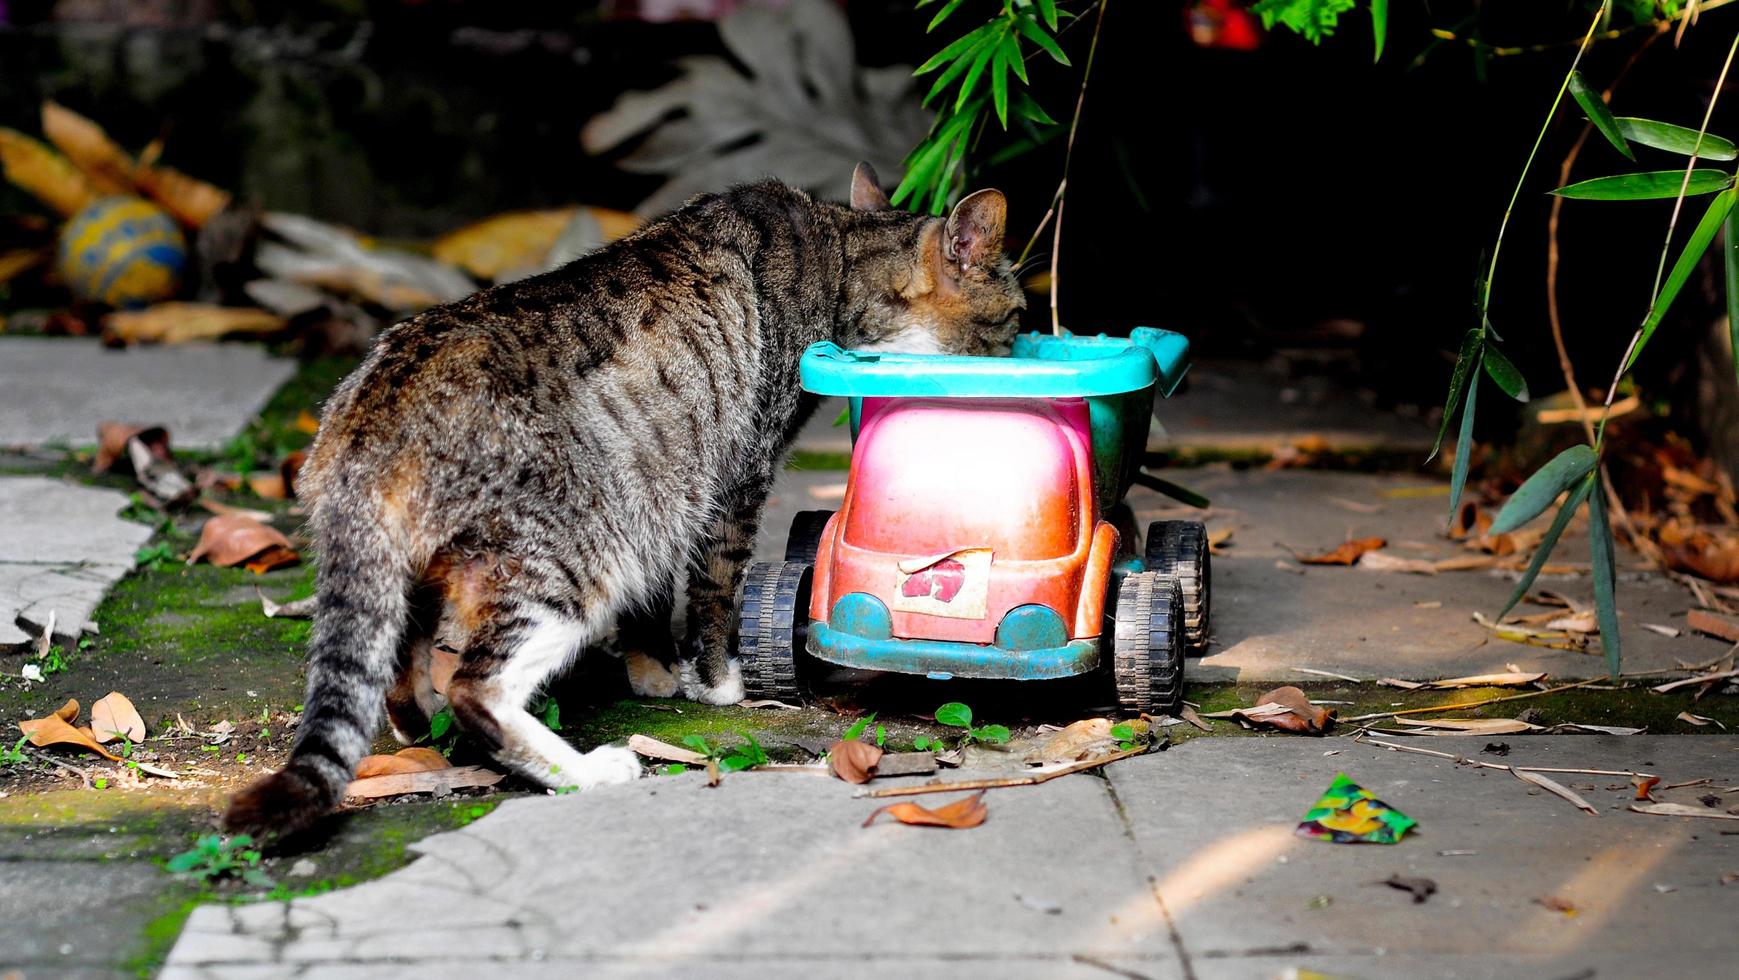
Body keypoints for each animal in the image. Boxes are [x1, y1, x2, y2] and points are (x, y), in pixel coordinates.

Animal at [224, 162, 1022, 834]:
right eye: (1014, 316)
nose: (1026, 344)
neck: (837, 254)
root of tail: (368, 415)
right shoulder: (736, 480)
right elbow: (714, 593)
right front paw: (717, 684)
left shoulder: (665, 488)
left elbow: (658, 594)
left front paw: (652, 672)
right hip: (573, 556)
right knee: (479, 689)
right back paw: (587, 770)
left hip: (425, 567)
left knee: (396, 665)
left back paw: (418, 734)